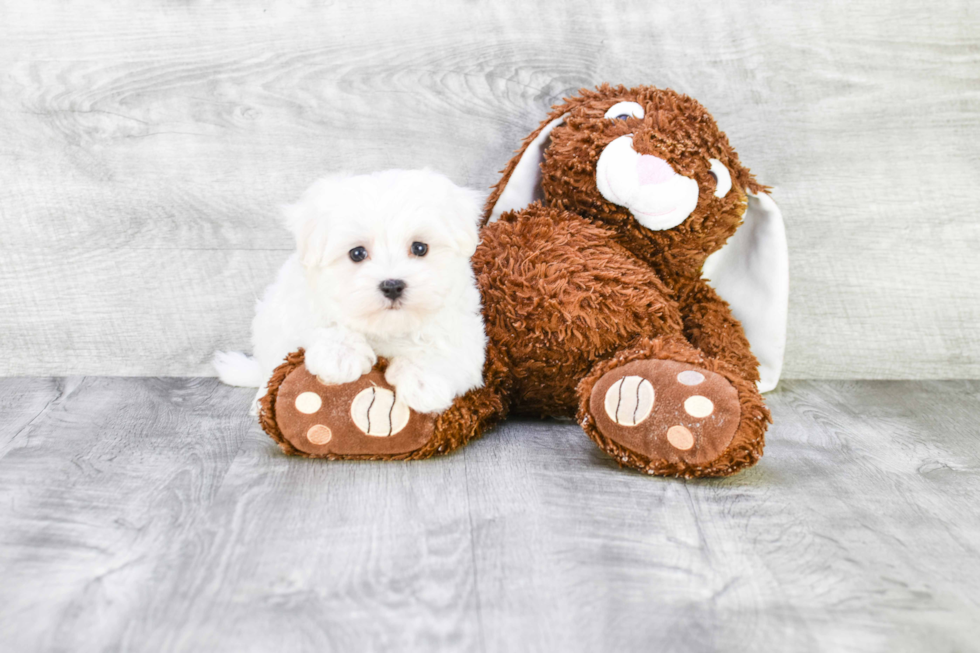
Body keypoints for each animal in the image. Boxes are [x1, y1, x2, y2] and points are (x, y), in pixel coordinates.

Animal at [216, 168, 488, 412]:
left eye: (420, 248)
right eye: (357, 253)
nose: (392, 286)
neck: (386, 328)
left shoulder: (465, 331)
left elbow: (446, 350)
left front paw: (423, 382)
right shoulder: (295, 306)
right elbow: (323, 322)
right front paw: (340, 355)